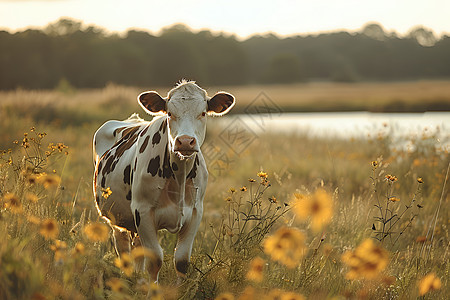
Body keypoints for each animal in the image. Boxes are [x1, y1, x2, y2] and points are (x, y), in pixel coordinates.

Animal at [93, 80, 237, 284]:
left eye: (202, 113)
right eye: (169, 113)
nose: (185, 141)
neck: (179, 177)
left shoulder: (195, 212)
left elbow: (181, 260)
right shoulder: (143, 211)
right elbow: (155, 260)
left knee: (137, 249)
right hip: (115, 217)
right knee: (123, 248)